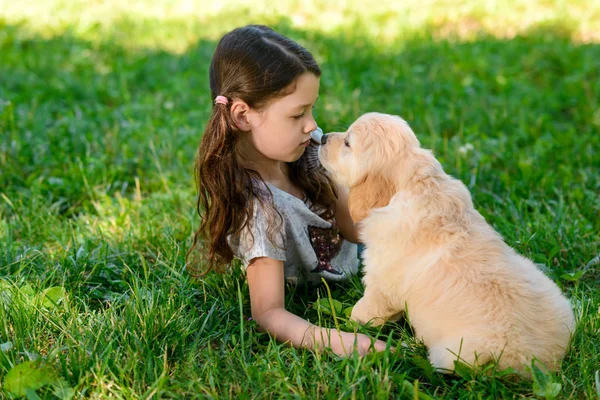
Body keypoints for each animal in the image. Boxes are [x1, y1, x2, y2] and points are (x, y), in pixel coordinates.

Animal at [318, 111, 576, 376]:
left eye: (348, 143)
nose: (323, 137)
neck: (414, 184)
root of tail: (542, 364)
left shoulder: (381, 284)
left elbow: (364, 310)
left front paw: (348, 324)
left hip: (452, 356)